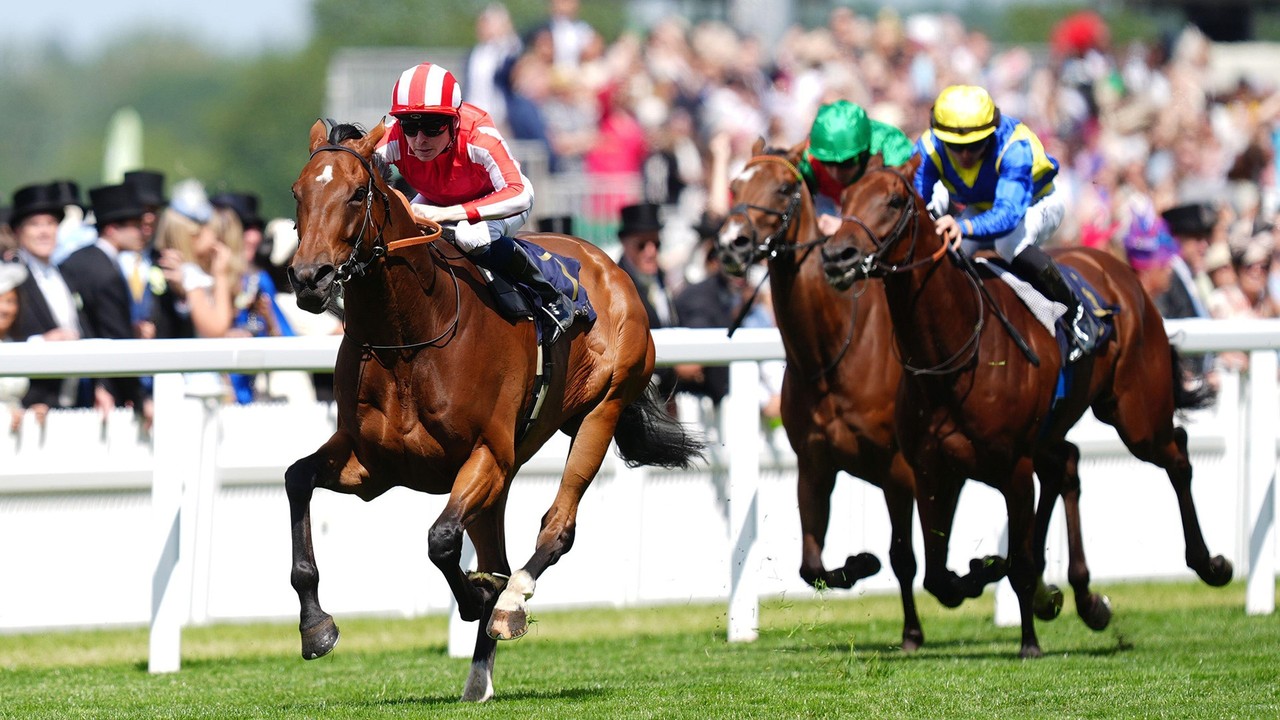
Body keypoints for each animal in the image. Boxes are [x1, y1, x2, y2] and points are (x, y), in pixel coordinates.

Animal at [288, 120, 701, 696]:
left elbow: (441, 540)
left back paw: (509, 605)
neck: (410, 336)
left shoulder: (487, 452)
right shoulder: (372, 464)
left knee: (557, 526)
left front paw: (481, 597)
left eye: (355, 192)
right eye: (298, 193)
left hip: (601, 408)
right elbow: (296, 479)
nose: (311, 278)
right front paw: (315, 626)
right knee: (498, 554)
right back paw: (478, 678)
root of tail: (609, 265)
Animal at [716, 141, 1003, 650]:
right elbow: (811, 565)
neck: (831, 353)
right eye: (734, 184)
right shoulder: (814, 464)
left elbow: (904, 557)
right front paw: (858, 564)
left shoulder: (899, 470)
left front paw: (914, 628)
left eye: (785, 187)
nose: (733, 242)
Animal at [819, 163, 1228, 655]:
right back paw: (1084, 599)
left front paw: (1028, 639)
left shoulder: (1011, 466)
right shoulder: (934, 469)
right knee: (1066, 465)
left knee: (1177, 453)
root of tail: (1122, 273)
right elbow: (939, 576)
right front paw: (988, 572)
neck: (955, 353)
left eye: (895, 202)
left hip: (1137, 417)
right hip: (1054, 430)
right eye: (844, 201)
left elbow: (1016, 564)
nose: (837, 256)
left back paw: (1210, 564)